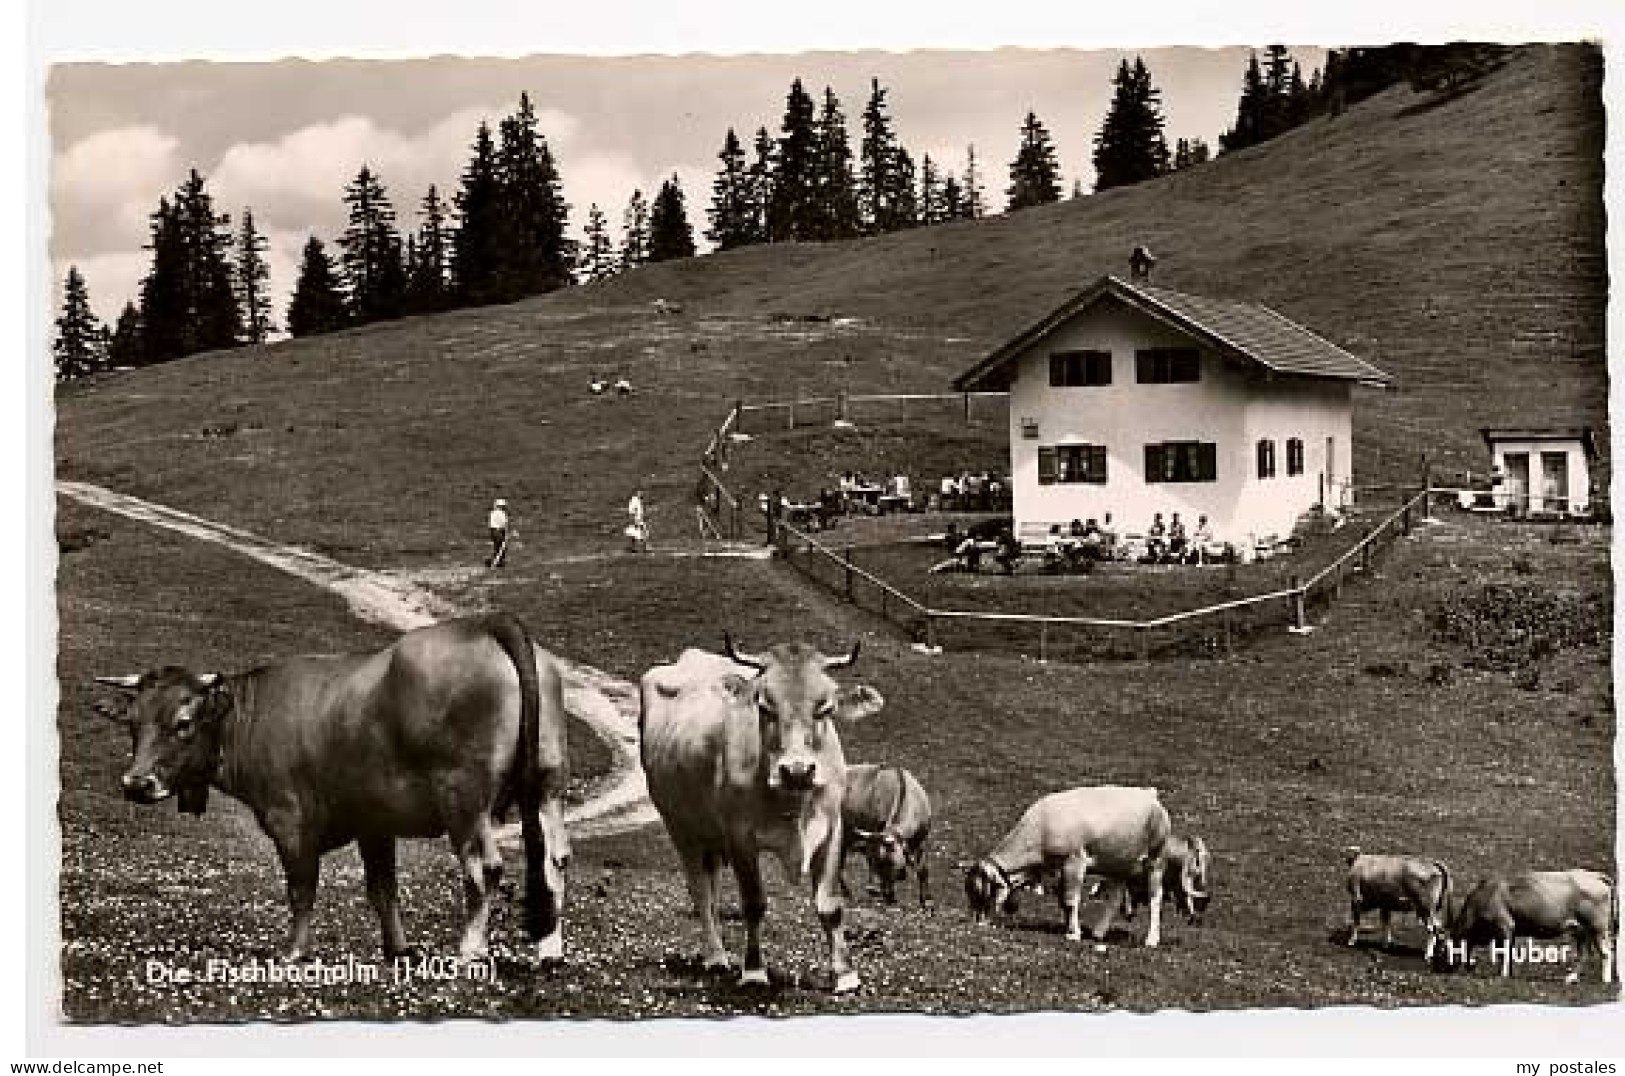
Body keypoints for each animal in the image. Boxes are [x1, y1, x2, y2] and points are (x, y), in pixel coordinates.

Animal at [637, 637, 890, 1001]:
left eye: (825, 708)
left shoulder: (832, 828)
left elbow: (830, 906)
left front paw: (845, 975)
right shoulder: (740, 836)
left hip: (710, 834)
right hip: (680, 826)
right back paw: (715, 956)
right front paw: (755, 972)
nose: (797, 771)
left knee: (712, 886)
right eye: (765, 707)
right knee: (700, 890)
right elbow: (753, 904)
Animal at [845, 767, 936, 910]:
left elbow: (923, 870)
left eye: (888, 862)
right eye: (876, 862)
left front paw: (927, 901)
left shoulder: (921, 841)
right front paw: (889, 897)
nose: (872, 889)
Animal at [955, 783, 1176, 955]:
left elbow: (1070, 900)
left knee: (1155, 898)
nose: (977, 923)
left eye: (979, 891)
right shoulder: (1056, 870)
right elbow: (1063, 900)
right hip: (1119, 862)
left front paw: (1073, 934)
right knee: (1115, 897)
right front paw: (1068, 928)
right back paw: (1098, 932)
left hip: (1156, 859)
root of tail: (1149, 793)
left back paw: (1151, 939)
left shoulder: (1074, 861)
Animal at [1443, 871, 1618, 988]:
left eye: (1442, 949)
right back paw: (1571, 978)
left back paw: (1605, 980)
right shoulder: (1511, 932)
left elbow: (1503, 952)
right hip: (1580, 930)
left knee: (1606, 953)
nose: (1441, 970)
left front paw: (1502, 975)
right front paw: (1509, 973)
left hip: (1598, 928)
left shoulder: (1505, 925)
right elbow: (1508, 952)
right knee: (1584, 955)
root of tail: (1594, 875)